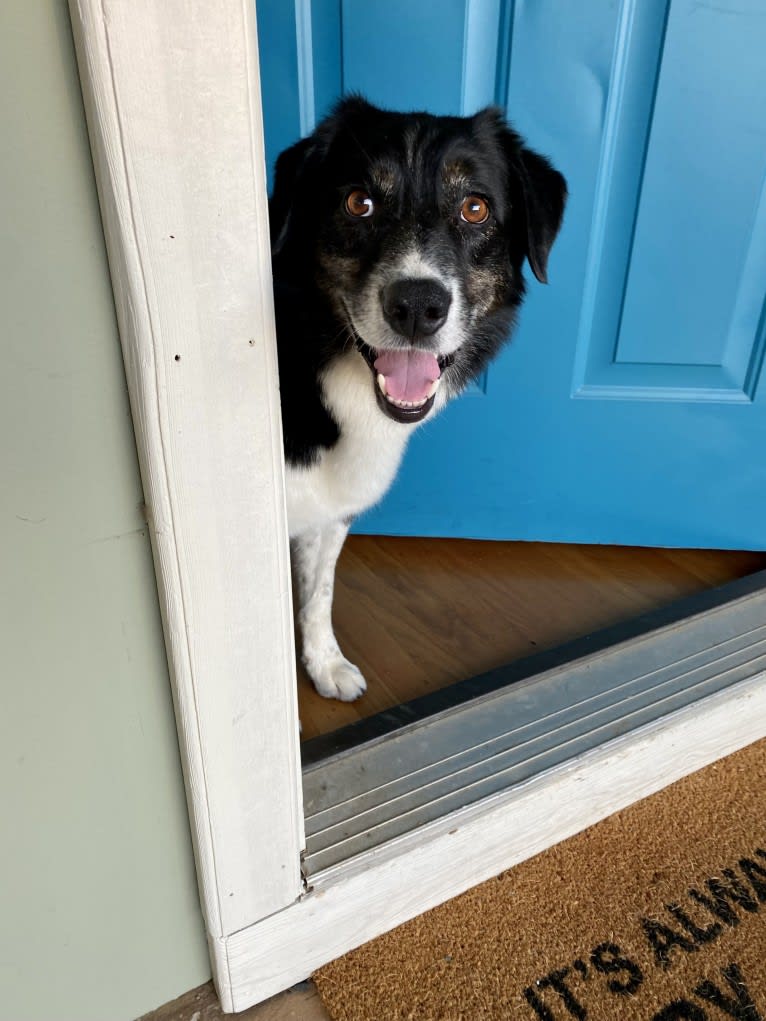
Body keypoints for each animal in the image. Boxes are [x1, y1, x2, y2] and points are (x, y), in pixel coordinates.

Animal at [267, 95, 563, 702]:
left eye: (475, 208)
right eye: (359, 203)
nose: (417, 307)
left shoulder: (331, 509)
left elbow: (318, 592)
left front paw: (324, 664)